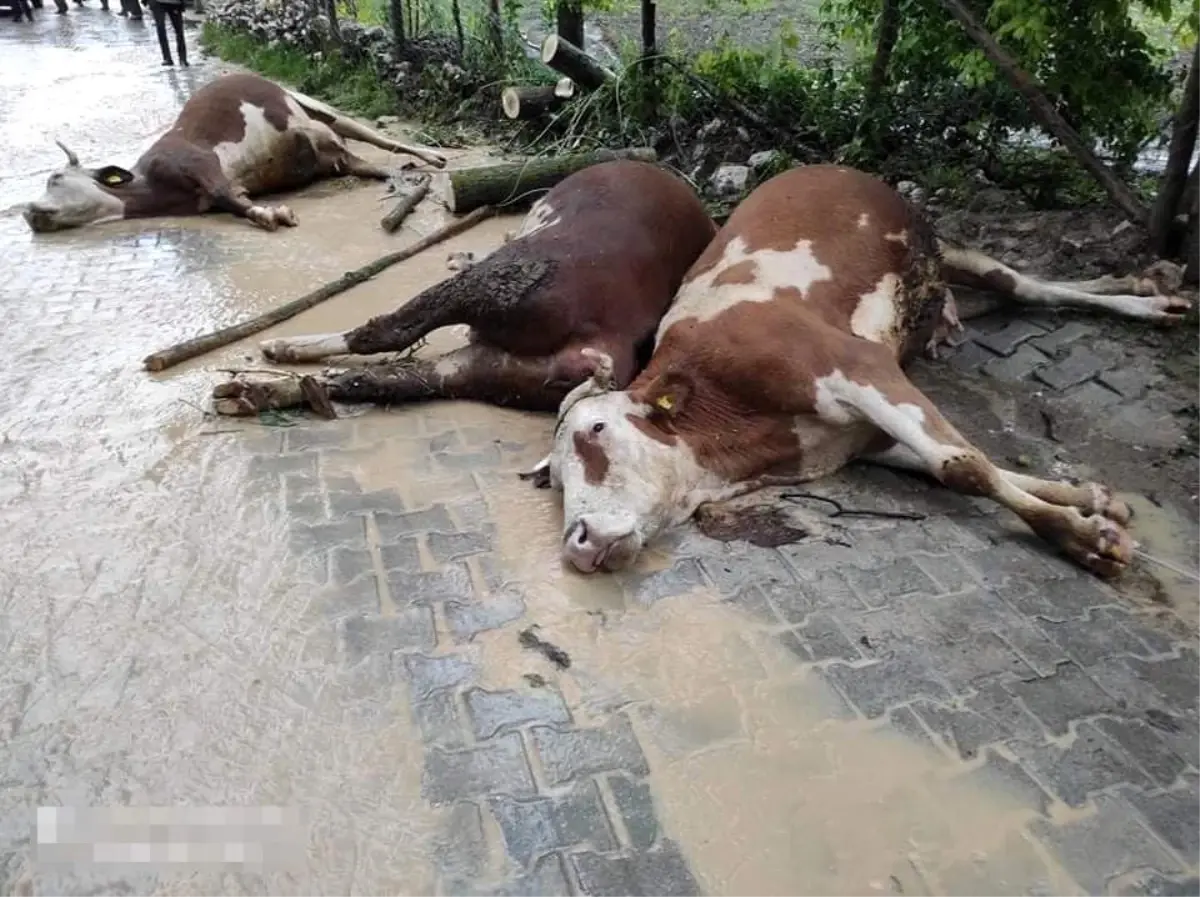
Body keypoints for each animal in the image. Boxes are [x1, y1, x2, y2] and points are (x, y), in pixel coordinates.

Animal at [22, 72, 446, 232]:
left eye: (55, 178)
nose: (29, 211)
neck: (152, 187)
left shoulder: (198, 162)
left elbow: (228, 194)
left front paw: (273, 213)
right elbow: (231, 200)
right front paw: (267, 211)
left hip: (315, 109)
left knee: (373, 135)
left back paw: (431, 155)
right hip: (336, 153)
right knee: (366, 164)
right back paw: (402, 179)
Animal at [207, 157, 715, 412]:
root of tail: (607, 342)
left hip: (504, 288)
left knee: (387, 332)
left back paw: (276, 350)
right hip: (493, 371)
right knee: (384, 379)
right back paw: (247, 394)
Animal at [537, 164, 1190, 578]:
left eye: (594, 432)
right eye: (555, 481)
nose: (579, 542)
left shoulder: (856, 365)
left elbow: (962, 466)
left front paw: (1084, 538)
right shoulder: (859, 438)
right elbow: (975, 464)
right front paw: (1091, 501)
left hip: (939, 245)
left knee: (1025, 284)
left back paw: (1149, 298)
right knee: (1009, 297)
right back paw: (1144, 286)